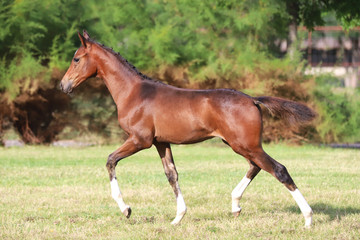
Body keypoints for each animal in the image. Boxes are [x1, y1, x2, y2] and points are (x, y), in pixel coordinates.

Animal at [61, 30, 316, 227]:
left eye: (76, 58)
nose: (63, 85)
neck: (133, 92)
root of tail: (252, 100)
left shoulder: (139, 140)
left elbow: (110, 160)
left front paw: (126, 210)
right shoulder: (160, 142)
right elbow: (172, 175)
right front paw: (178, 217)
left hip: (245, 144)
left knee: (278, 169)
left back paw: (308, 218)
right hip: (240, 144)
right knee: (256, 167)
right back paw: (235, 206)